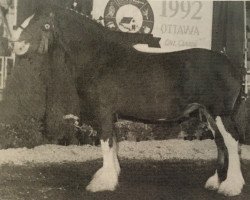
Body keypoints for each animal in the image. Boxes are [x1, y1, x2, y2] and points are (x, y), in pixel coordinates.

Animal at [12, 5, 246, 196]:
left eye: (44, 24)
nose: (18, 46)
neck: (98, 57)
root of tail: (232, 67)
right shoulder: (111, 113)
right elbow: (113, 143)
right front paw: (111, 175)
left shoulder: (103, 110)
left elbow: (105, 142)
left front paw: (103, 183)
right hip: (208, 114)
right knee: (220, 143)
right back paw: (215, 182)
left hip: (221, 113)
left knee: (232, 141)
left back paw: (231, 186)